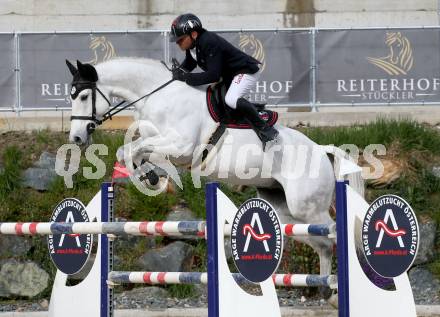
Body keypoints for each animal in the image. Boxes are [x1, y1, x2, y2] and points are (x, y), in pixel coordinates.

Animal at [65, 57, 360, 288]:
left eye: (83, 96)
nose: (77, 138)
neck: (156, 94)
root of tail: (322, 150)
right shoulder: (156, 139)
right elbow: (130, 151)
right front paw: (150, 176)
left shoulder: (181, 146)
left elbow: (133, 151)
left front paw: (149, 179)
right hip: (285, 208)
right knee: (322, 244)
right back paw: (327, 292)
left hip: (307, 207)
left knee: (334, 233)